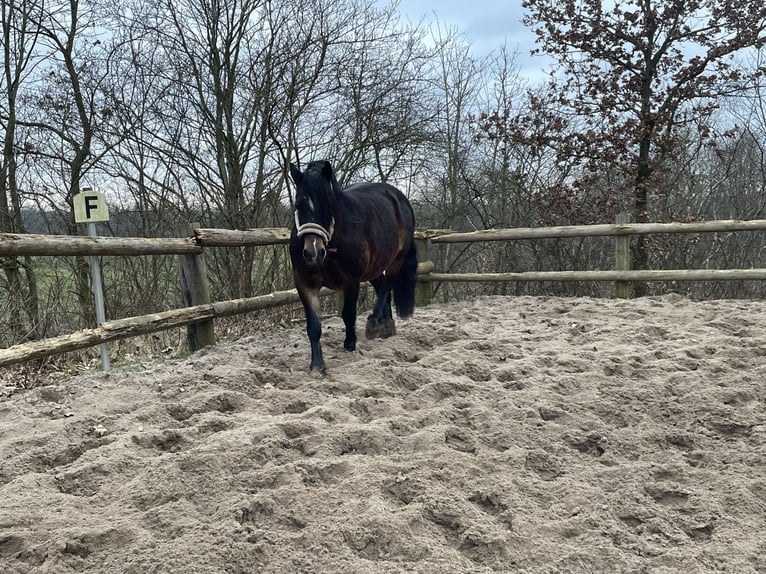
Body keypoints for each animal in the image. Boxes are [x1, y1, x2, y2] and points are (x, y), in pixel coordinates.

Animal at [290, 161, 420, 378]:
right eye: (298, 205)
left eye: (328, 205)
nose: (312, 252)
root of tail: (399, 198)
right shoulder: (304, 284)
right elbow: (314, 326)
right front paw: (317, 365)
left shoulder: (351, 281)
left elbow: (348, 314)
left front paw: (350, 343)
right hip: (374, 267)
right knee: (382, 286)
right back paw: (387, 324)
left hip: (396, 259)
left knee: (387, 286)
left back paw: (375, 323)